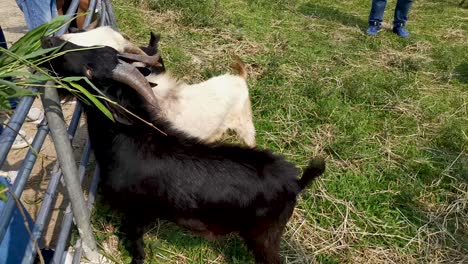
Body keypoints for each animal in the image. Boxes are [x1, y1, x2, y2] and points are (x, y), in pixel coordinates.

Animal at [41, 37, 326, 264]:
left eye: (90, 72)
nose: (50, 40)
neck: (131, 139)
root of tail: (296, 182)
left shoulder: (138, 213)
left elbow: (137, 245)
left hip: (264, 236)